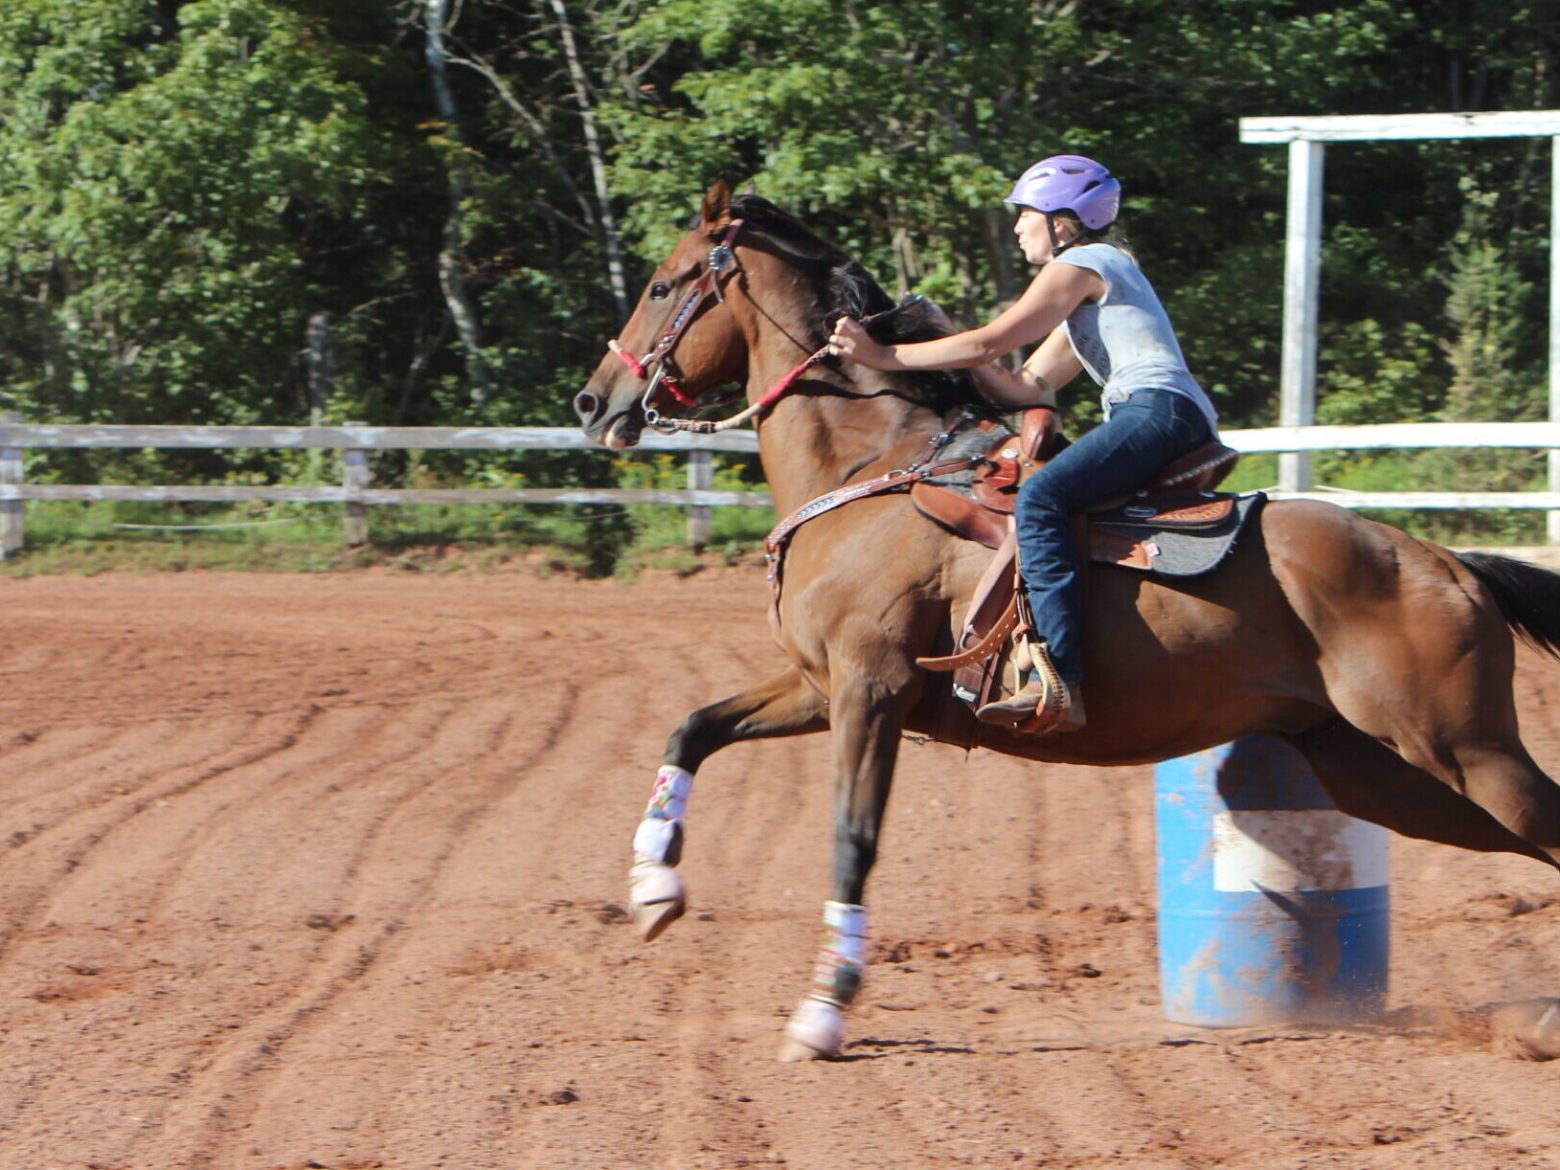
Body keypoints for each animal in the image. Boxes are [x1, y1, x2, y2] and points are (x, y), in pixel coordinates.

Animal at [573, 179, 1560, 1061]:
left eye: (662, 283)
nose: (593, 403)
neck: (870, 467)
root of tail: (1447, 564)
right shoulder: (824, 685)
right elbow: (694, 727)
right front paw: (653, 885)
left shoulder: (871, 690)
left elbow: (853, 839)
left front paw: (823, 1011)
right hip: (1375, 769)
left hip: (1463, 747)